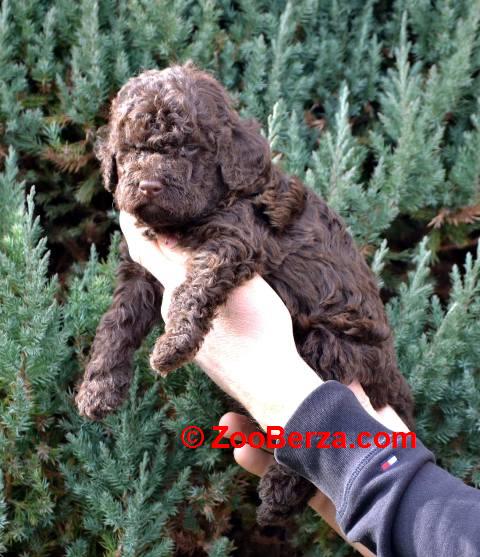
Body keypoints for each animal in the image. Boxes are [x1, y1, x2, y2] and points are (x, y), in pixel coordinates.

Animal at [75, 60, 412, 524]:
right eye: (130, 149)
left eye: (190, 149)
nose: (148, 186)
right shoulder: (139, 271)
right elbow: (116, 325)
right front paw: (98, 389)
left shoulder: (233, 241)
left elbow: (194, 287)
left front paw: (173, 346)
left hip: (329, 346)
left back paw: (278, 493)